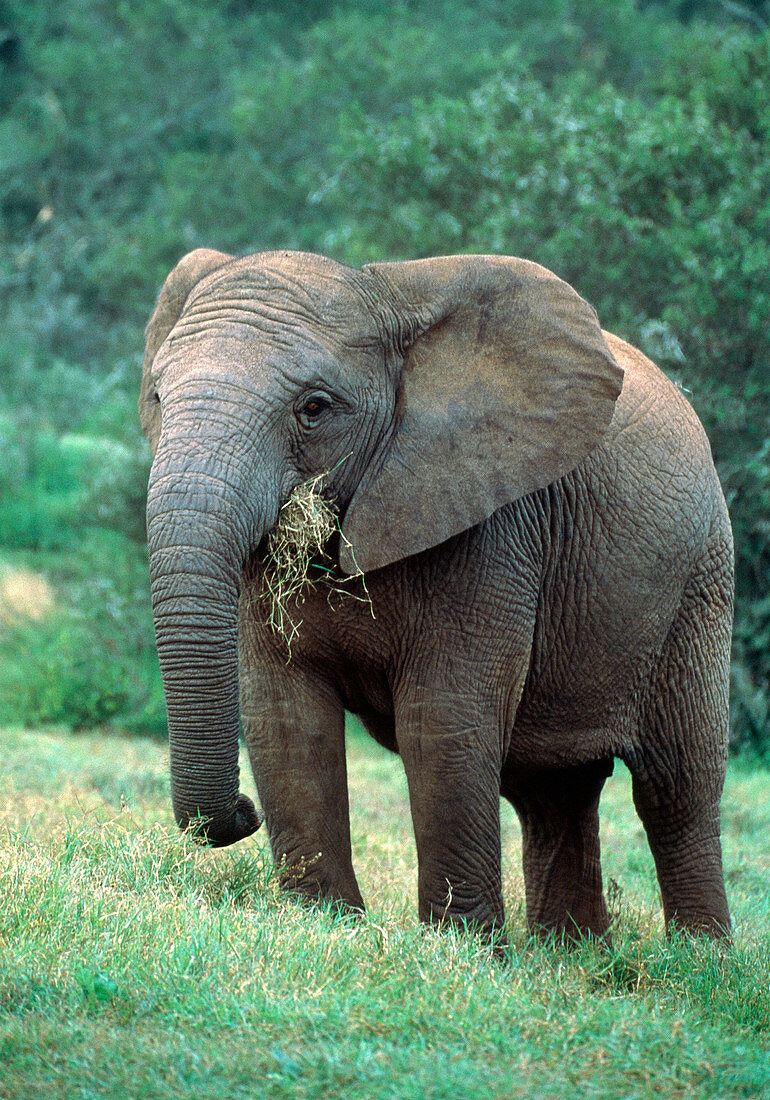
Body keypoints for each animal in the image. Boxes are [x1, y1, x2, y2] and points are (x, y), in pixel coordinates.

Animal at [139, 253, 734, 941]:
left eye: (314, 408)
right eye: (158, 398)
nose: (241, 814)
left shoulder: (494, 528)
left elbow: (442, 720)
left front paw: (460, 951)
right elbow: (286, 718)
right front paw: (323, 928)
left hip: (700, 583)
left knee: (675, 785)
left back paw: (696, 956)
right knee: (552, 789)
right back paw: (572, 953)